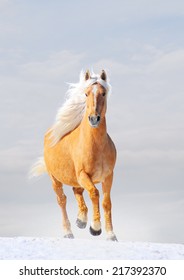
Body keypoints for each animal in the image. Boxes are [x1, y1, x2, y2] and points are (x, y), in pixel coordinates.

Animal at [32, 69, 116, 241]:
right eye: (86, 93)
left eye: (103, 93)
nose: (94, 118)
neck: (97, 146)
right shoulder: (83, 175)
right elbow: (94, 193)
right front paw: (95, 228)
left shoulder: (108, 176)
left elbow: (106, 202)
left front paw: (111, 235)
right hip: (56, 179)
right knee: (62, 200)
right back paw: (68, 232)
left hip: (75, 179)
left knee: (77, 192)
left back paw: (81, 220)